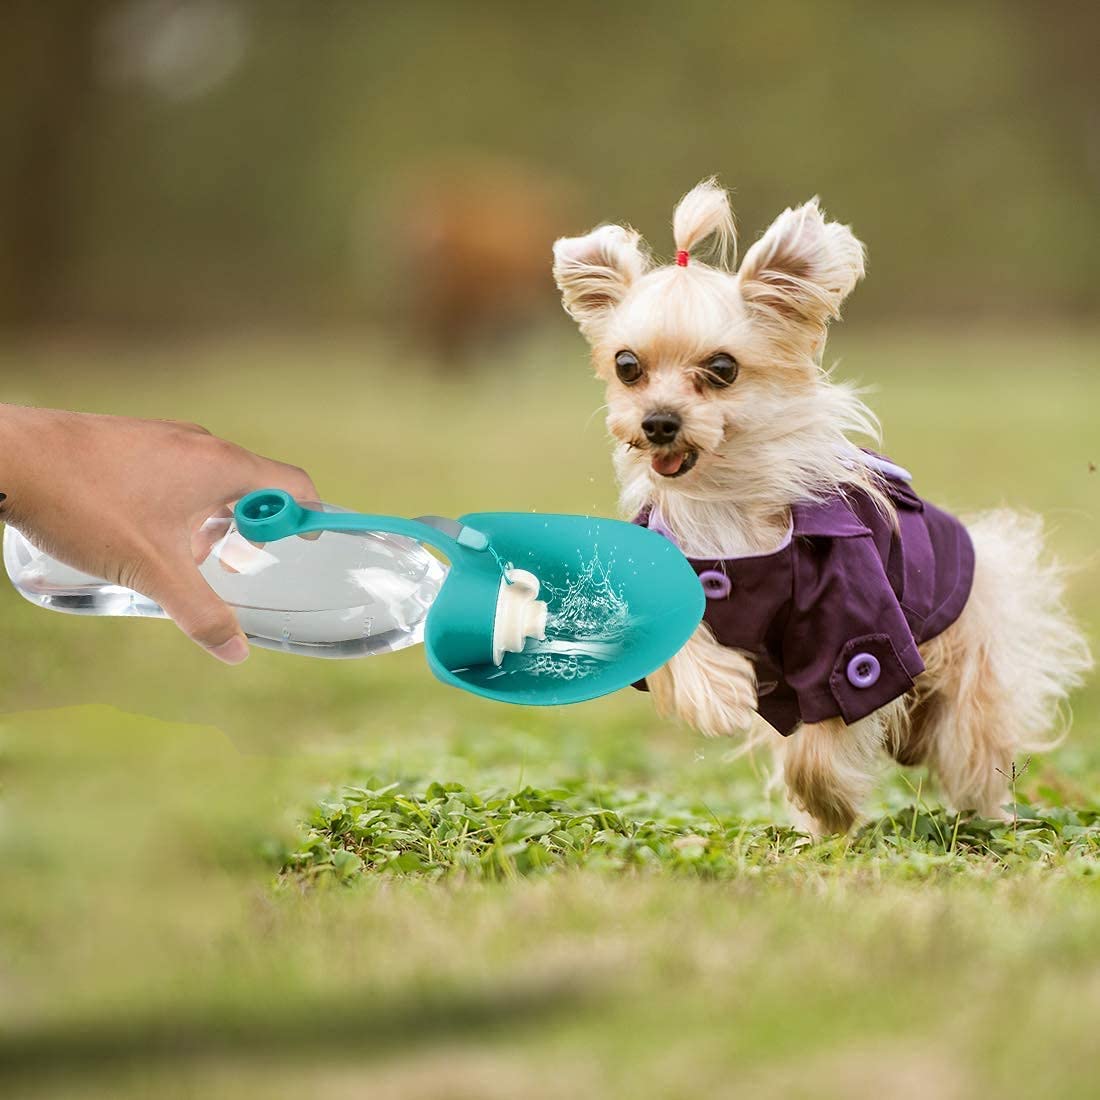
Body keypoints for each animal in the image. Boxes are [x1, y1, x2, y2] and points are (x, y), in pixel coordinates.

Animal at [554, 178, 1086, 831]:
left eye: (722, 368)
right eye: (627, 366)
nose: (658, 422)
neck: (723, 503)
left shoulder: (852, 627)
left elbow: (830, 718)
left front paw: (830, 807)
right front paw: (720, 694)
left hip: (967, 671)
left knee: (971, 748)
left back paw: (985, 811)